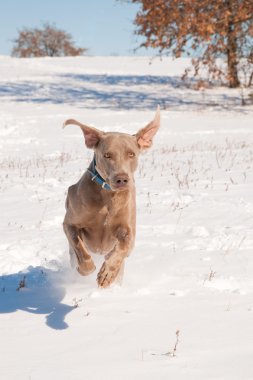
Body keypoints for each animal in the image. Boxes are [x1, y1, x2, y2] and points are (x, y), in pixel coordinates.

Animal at [62, 105, 160, 286]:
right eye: (107, 155)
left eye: (131, 154)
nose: (121, 179)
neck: (108, 196)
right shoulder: (70, 223)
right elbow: (78, 245)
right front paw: (86, 268)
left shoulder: (128, 230)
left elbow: (124, 246)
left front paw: (107, 273)